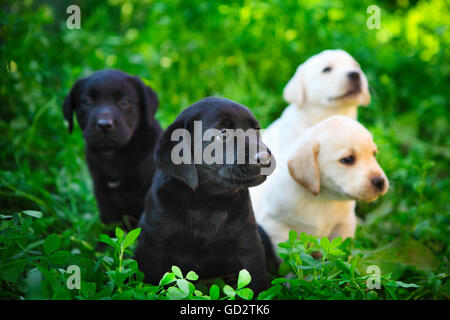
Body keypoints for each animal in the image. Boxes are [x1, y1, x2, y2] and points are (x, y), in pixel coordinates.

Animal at [62, 70, 163, 229]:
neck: (114, 154)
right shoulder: (104, 196)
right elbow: (112, 227)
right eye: (87, 102)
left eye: (124, 102)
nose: (104, 124)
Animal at [134, 96, 274, 294]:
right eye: (223, 134)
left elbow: (257, 283)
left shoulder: (249, 244)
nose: (265, 158)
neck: (207, 202)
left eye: (256, 130)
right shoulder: (152, 245)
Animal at [251, 116, 388, 246]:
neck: (322, 198)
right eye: (348, 159)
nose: (380, 181)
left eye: (374, 154)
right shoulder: (274, 224)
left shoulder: (344, 224)